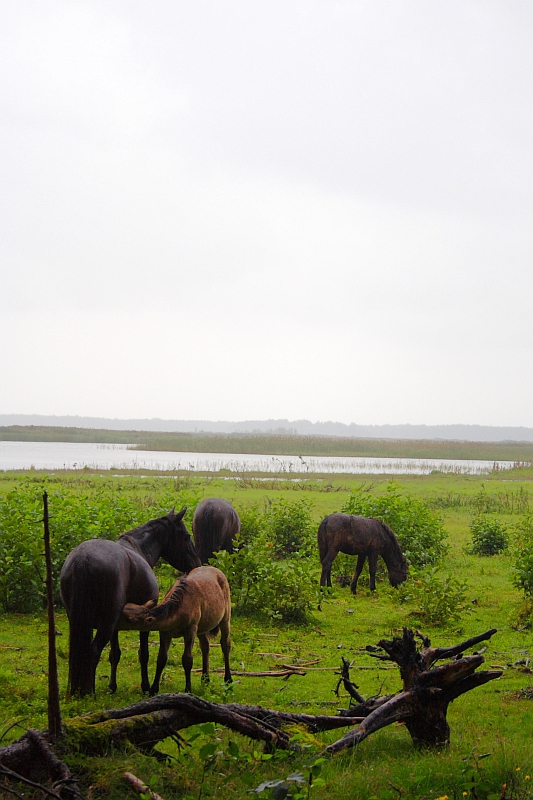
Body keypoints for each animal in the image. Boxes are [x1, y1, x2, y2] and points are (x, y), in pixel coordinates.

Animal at [60, 508, 201, 697]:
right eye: (186, 536)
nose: (197, 564)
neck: (138, 548)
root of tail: (83, 559)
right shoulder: (145, 620)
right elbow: (144, 653)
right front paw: (146, 686)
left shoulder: (116, 625)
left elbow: (115, 654)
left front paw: (112, 686)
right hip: (105, 624)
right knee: (93, 651)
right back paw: (90, 692)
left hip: (82, 622)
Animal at [122, 565, 232, 695]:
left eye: (128, 618)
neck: (178, 611)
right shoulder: (165, 632)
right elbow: (161, 658)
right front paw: (153, 689)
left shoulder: (191, 629)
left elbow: (187, 659)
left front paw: (188, 688)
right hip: (203, 625)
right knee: (205, 646)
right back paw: (205, 679)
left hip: (225, 617)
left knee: (225, 644)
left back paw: (228, 680)